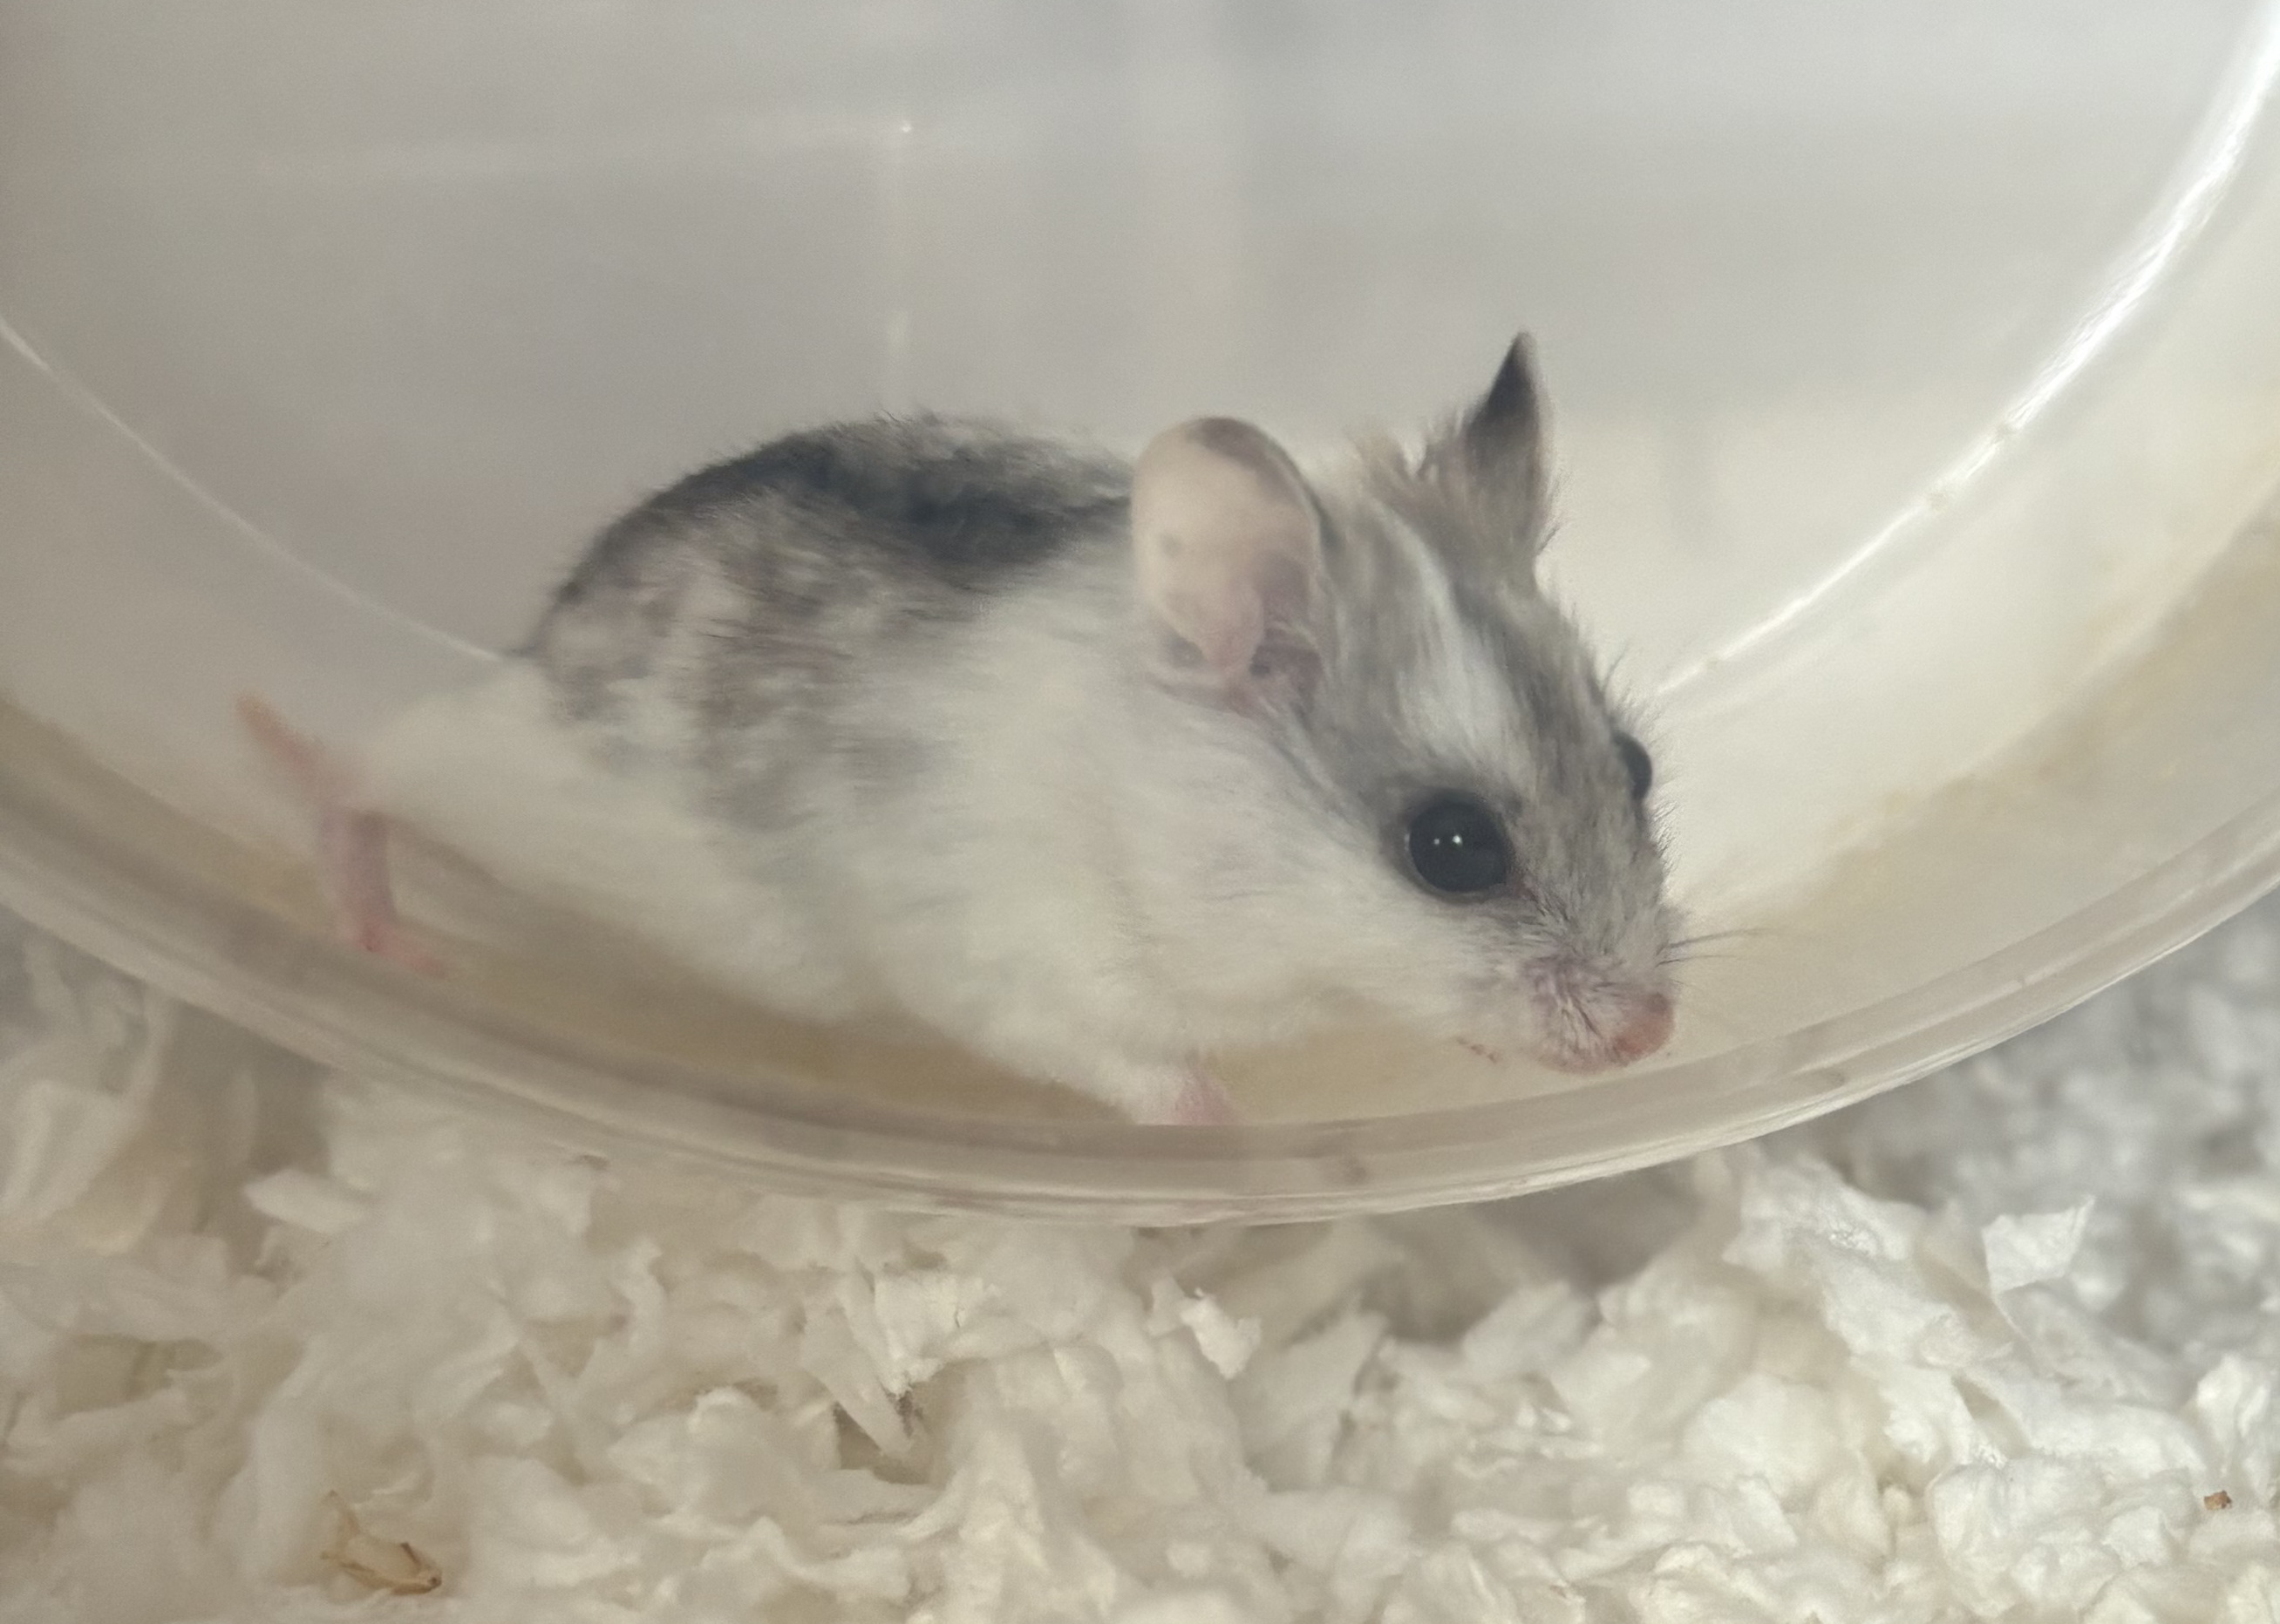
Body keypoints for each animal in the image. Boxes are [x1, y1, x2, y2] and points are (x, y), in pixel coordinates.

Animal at [243, 335, 1678, 1125]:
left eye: (1637, 763)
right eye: (1451, 847)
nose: (1650, 1040)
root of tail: (551, 625)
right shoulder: (1022, 973)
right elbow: (1144, 1072)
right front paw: (1235, 1133)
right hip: (507, 772)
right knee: (356, 771)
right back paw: (361, 893)